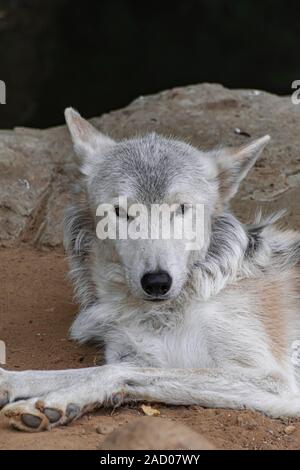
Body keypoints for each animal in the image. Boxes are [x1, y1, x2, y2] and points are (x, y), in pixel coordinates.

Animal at [0, 108, 300, 432]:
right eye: (121, 212)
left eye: (181, 209)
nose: (157, 281)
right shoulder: (136, 355)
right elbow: (73, 372)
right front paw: (12, 383)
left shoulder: (275, 381)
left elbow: (111, 372)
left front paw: (56, 401)